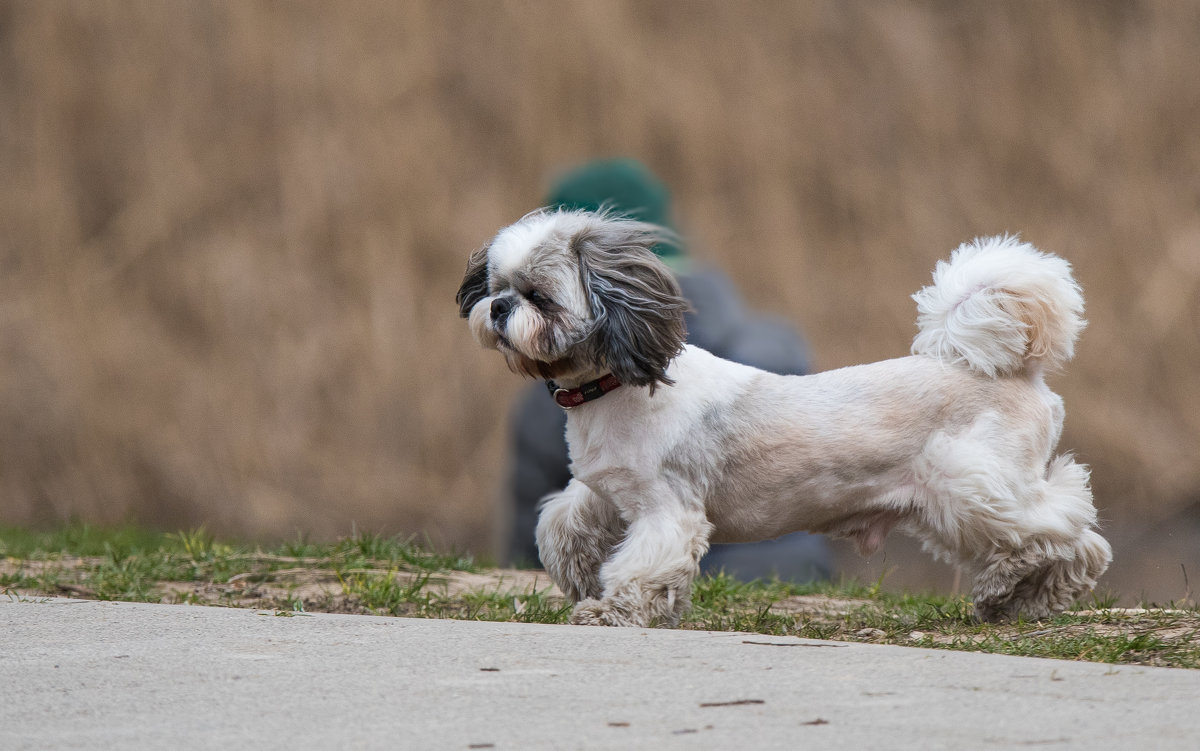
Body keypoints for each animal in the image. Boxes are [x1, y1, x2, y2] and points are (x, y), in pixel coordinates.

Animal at [453, 207, 1108, 623]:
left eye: (539, 297)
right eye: (495, 284)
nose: (499, 307)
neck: (610, 390)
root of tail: (1013, 372)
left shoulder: (667, 509)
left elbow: (646, 564)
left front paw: (614, 610)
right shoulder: (609, 490)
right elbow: (561, 523)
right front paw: (580, 573)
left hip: (970, 487)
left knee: (1067, 525)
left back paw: (1022, 586)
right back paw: (1013, 597)